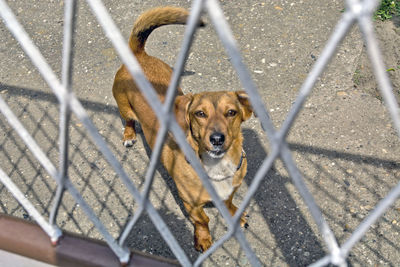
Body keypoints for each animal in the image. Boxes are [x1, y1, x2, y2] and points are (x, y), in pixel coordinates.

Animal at [111, 6, 253, 253]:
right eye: (200, 113)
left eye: (231, 112)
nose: (217, 139)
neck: (216, 168)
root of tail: (138, 56)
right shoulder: (191, 204)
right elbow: (203, 220)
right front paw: (203, 239)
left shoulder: (229, 191)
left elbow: (228, 202)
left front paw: (235, 214)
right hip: (124, 106)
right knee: (128, 120)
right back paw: (129, 135)